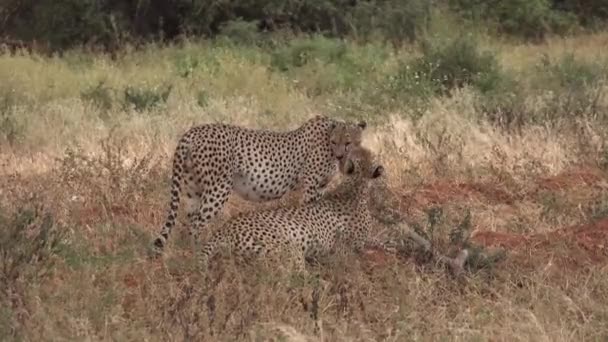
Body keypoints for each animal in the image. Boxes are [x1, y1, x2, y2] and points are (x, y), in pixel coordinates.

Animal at [151, 115, 366, 254]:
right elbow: (309, 214)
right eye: (335, 142)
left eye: (348, 143)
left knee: (187, 222)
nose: (340, 156)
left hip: (192, 189)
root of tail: (193, 131)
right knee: (196, 224)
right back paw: (198, 253)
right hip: (218, 188)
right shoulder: (310, 185)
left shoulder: (320, 187)